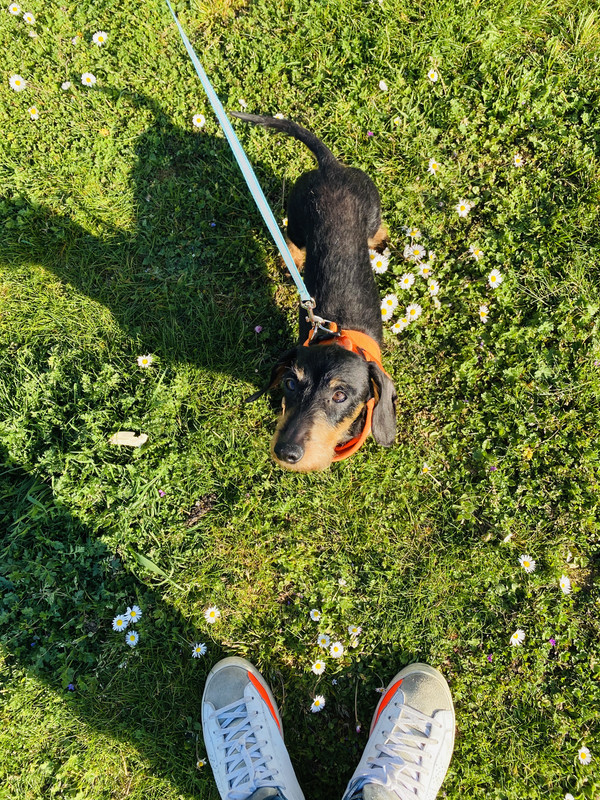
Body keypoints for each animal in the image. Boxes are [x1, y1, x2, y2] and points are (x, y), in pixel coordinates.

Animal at [234, 112, 397, 472]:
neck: (339, 335)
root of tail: (330, 166)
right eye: (291, 383)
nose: (286, 452)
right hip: (297, 219)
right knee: (292, 240)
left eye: (340, 395)